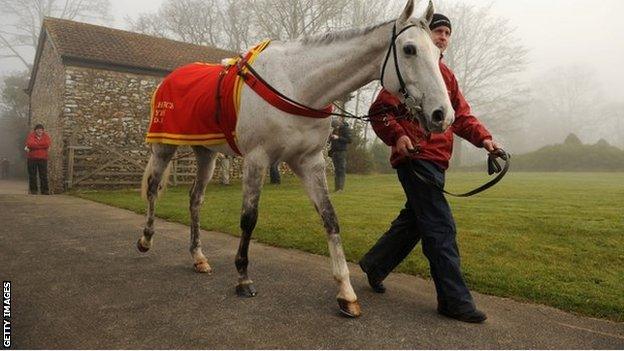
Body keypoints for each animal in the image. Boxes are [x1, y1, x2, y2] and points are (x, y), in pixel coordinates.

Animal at [138, 0, 454, 320]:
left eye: (437, 50)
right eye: (409, 49)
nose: (443, 114)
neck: (297, 86)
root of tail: (169, 79)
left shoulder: (309, 162)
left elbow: (330, 218)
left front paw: (345, 292)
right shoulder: (257, 159)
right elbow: (249, 219)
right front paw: (243, 278)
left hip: (206, 153)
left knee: (195, 199)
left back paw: (198, 257)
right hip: (164, 146)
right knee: (153, 189)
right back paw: (147, 238)